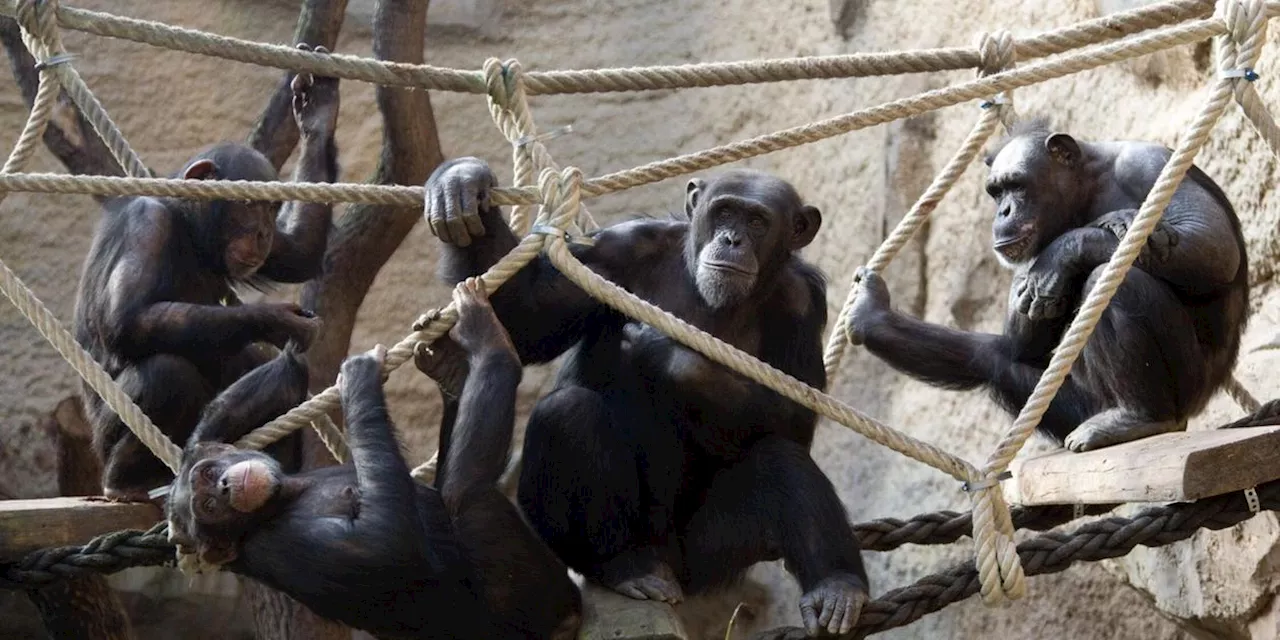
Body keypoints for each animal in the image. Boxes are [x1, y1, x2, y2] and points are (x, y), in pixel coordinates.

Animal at [73, 46, 340, 504]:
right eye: (249, 204)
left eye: (272, 207)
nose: (263, 231)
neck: (188, 224)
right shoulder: (148, 224)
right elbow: (128, 319)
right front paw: (278, 320)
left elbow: (299, 253)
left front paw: (318, 112)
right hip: (104, 440)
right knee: (167, 372)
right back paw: (126, 481)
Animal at [163, 279, 581, 640]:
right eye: (209, 507)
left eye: (208, 476)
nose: (224, 486)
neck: (288, 494)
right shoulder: (282, 547)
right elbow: (384, 545)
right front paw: (357, 376)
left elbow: (269, 391)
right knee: (466, 494)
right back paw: (488, 339)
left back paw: (451, 366)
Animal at [430, 156, 870, 634]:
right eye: (725, 212)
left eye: (757, 222)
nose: (732, 239)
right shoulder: (618, 250)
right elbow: (527, 320)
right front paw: (461, 182)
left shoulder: (801, 300)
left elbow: (796, 419)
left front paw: (665, 352)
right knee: (569, 413)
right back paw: (623, 566)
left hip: (706, 557)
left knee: (782, 461)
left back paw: (836, 586)